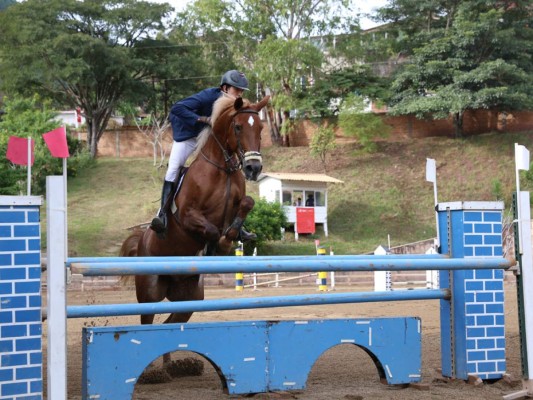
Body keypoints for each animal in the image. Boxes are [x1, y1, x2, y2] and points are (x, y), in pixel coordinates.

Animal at [121, 94, 270, 334]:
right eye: (238, 127)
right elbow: (211, 230)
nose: (253, 168)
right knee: (148, 320)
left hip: (189, 298)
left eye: (260, 128)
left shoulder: (238, 204)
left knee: (172, 323)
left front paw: (234, 236)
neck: (222, 168)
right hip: (149, 292)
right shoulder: (188, 216)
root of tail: (141, 241)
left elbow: (248, 203)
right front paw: (219, 246)